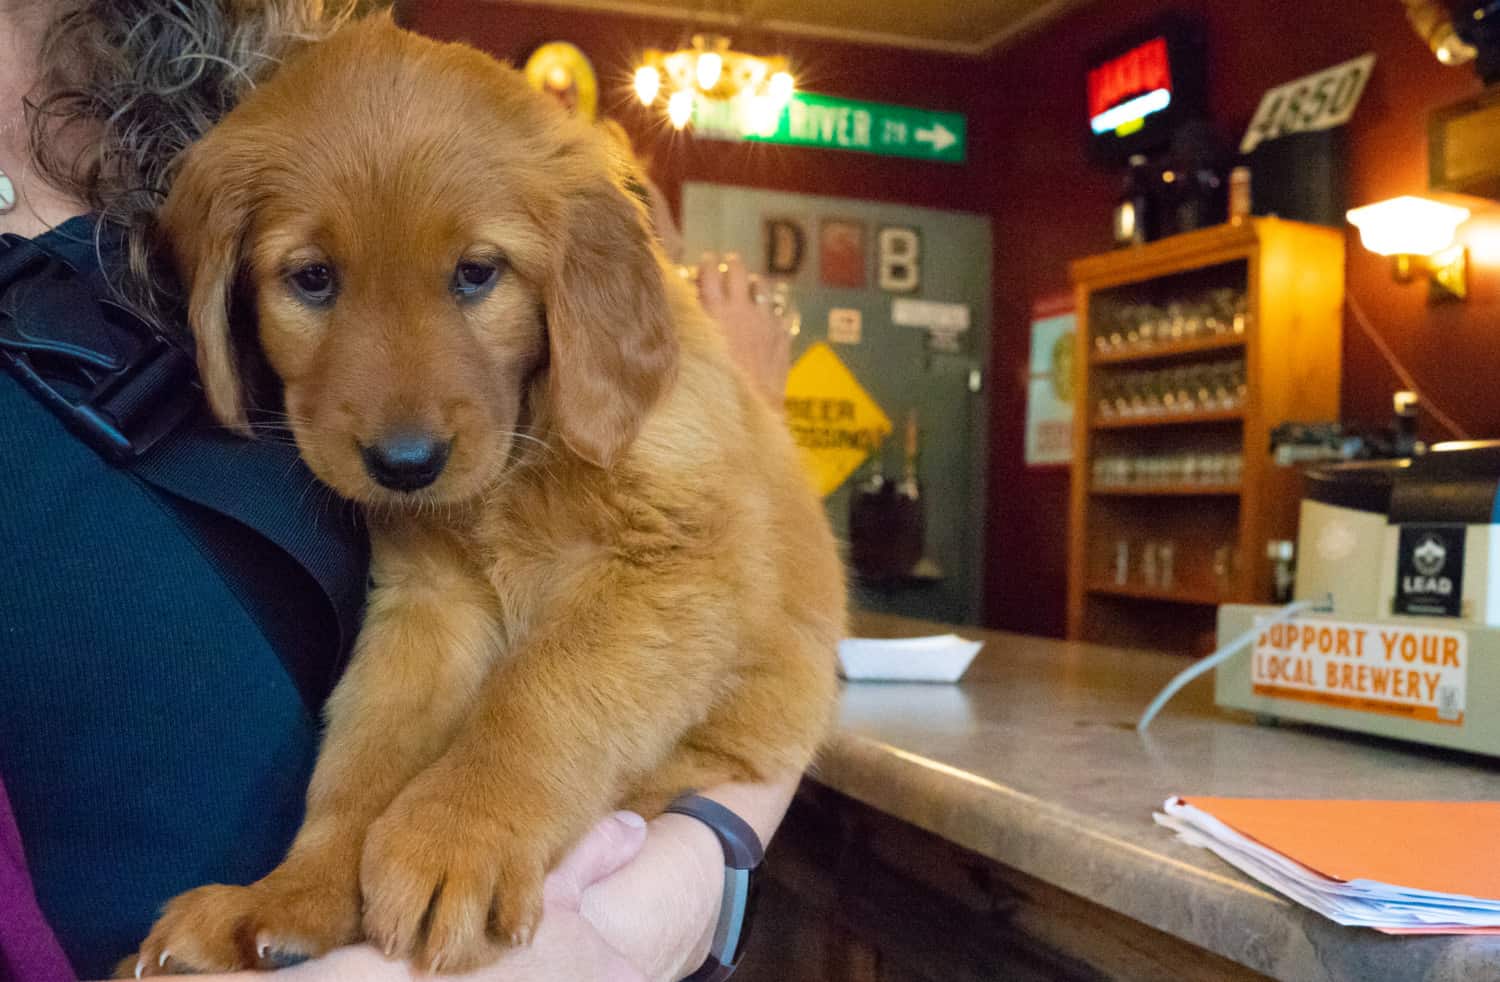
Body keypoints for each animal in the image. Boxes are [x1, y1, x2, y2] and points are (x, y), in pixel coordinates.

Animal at [129, 13, 846, 977]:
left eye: (477, 273)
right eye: (312, 278)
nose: (405, 464)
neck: (518, 462)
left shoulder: (672, 570)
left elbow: (537, 699)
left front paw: (454, 841)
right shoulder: (428, 601)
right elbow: (363, 755)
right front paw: (294, 895)